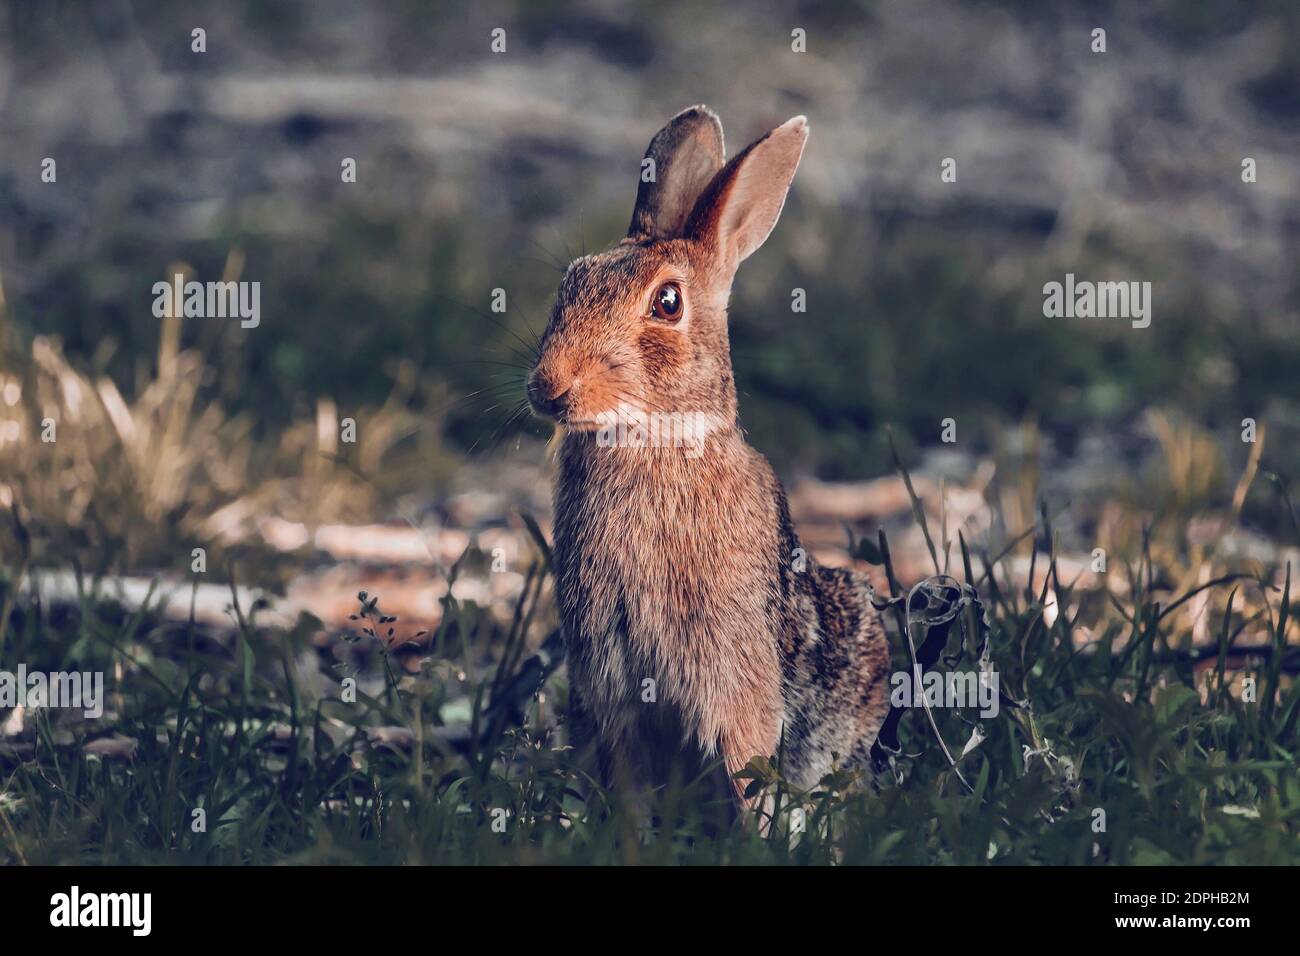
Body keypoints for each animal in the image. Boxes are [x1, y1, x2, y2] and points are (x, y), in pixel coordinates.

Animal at [526, 105, 892, 811]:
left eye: (667, 303)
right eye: (569, 281)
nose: (549, 388)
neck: (655, 439)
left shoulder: (732, 690)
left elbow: (747, 773)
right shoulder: (613, 695)